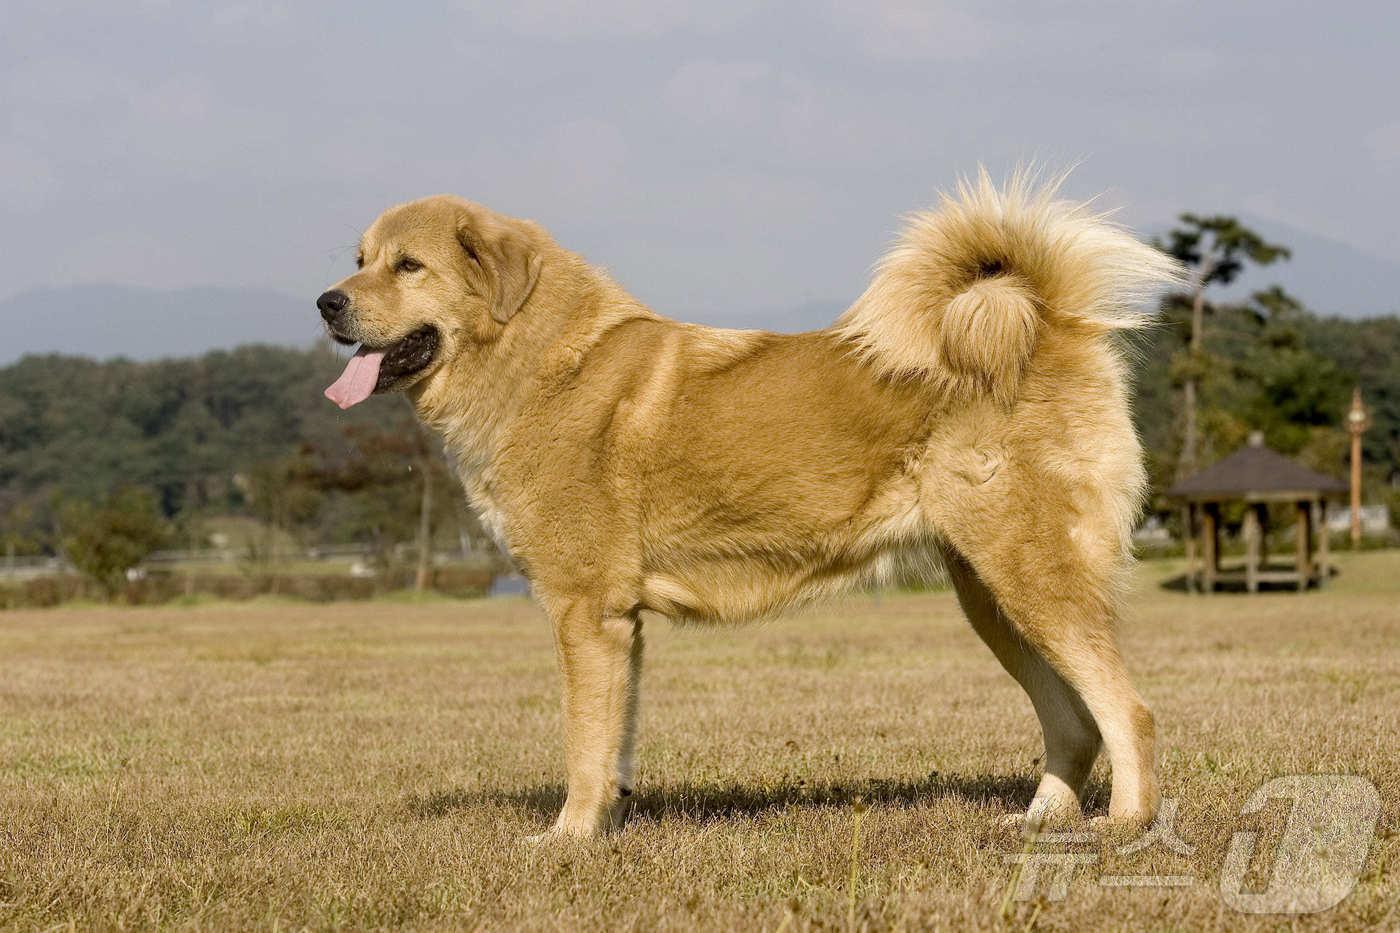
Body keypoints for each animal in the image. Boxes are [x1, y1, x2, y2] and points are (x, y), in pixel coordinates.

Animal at [317, 170, 1181, 829]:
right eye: (359, 260)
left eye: (407, 265)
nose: (326, 301)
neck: (539, 358)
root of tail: (1049, 321)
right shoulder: (618, 624)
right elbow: (613, 741)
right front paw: (610, 823)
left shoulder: (583, 610)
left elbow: (582, 744)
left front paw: (568, 838)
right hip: (992, 596)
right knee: (1075, 721)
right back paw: (1038, 822)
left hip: (1030, 578)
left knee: (1129, 712)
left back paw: (1123, 825)